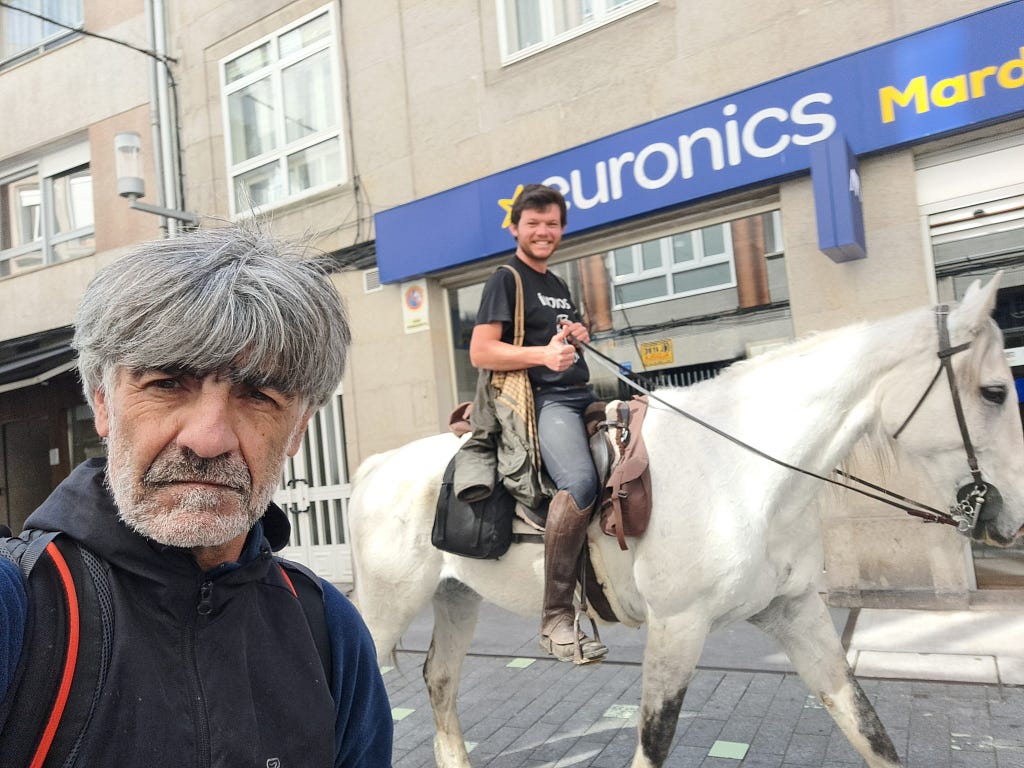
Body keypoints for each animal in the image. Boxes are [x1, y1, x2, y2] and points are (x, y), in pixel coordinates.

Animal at [349, 274, 1024, 768]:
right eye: (995, 391)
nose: (1009, 520)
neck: (742, 472)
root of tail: (375, 465)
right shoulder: (677, 627)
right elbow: (655, 740)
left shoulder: (796, 611)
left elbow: (866, 726)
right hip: (383, 613)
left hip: (457, 596)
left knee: (440, 680)